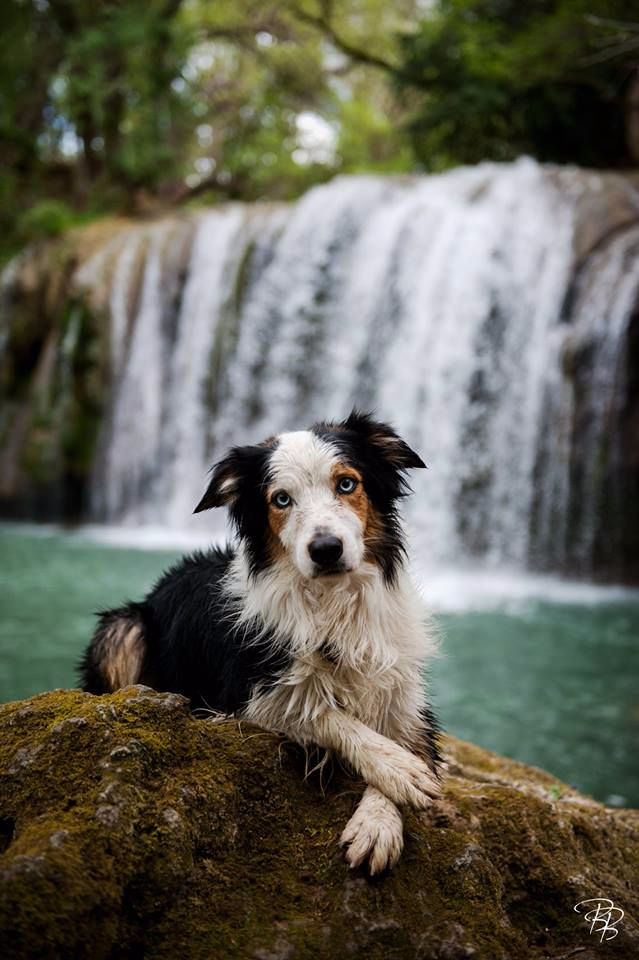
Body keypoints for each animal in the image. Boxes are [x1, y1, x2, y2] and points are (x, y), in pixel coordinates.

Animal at [80, 408, 442, 872]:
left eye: (346, 484)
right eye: (281, 500)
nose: (326, 549)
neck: (332, 605)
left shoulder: (408, 699)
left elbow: (404, 739)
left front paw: (378, 821)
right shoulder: (254, 696)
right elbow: (323, 713)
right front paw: (398, 769)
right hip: (122, 628)